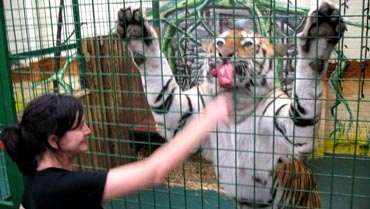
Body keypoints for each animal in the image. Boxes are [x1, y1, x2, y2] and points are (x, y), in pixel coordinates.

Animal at [117, 0, 346, 208]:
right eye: (219, 43)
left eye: (247, 44)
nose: (224, 55)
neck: (235, 103)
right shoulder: (178, 113)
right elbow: (159, 80)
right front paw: (137, 31)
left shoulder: (291, 132)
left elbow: (305, 93)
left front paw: (319, 37)